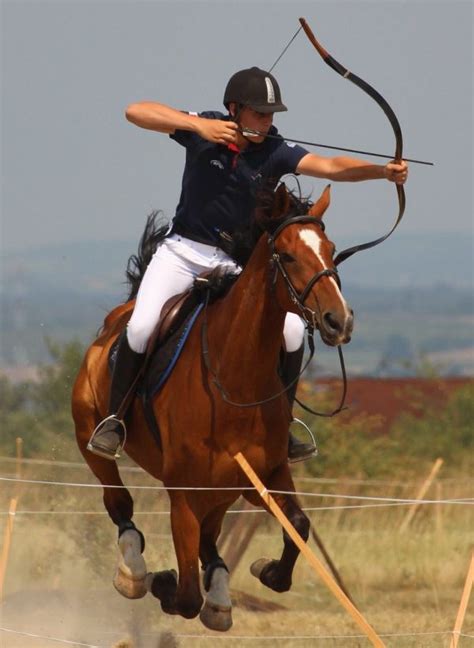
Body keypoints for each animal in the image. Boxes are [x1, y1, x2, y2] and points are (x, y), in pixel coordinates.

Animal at [72, 185, 354, 632]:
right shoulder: (184, 493)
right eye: (288, 256)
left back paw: (219, 596)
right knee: (120, 505)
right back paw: (135, 571)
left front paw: (267, 571)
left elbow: (298, 524)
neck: (235, 378)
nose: (338, 321)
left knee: (209, 539)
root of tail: (118, 319)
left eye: (331, 250)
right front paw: (162, 581)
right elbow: (186, 593)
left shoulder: (265, 476)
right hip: (90, 437)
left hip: (224, 487)